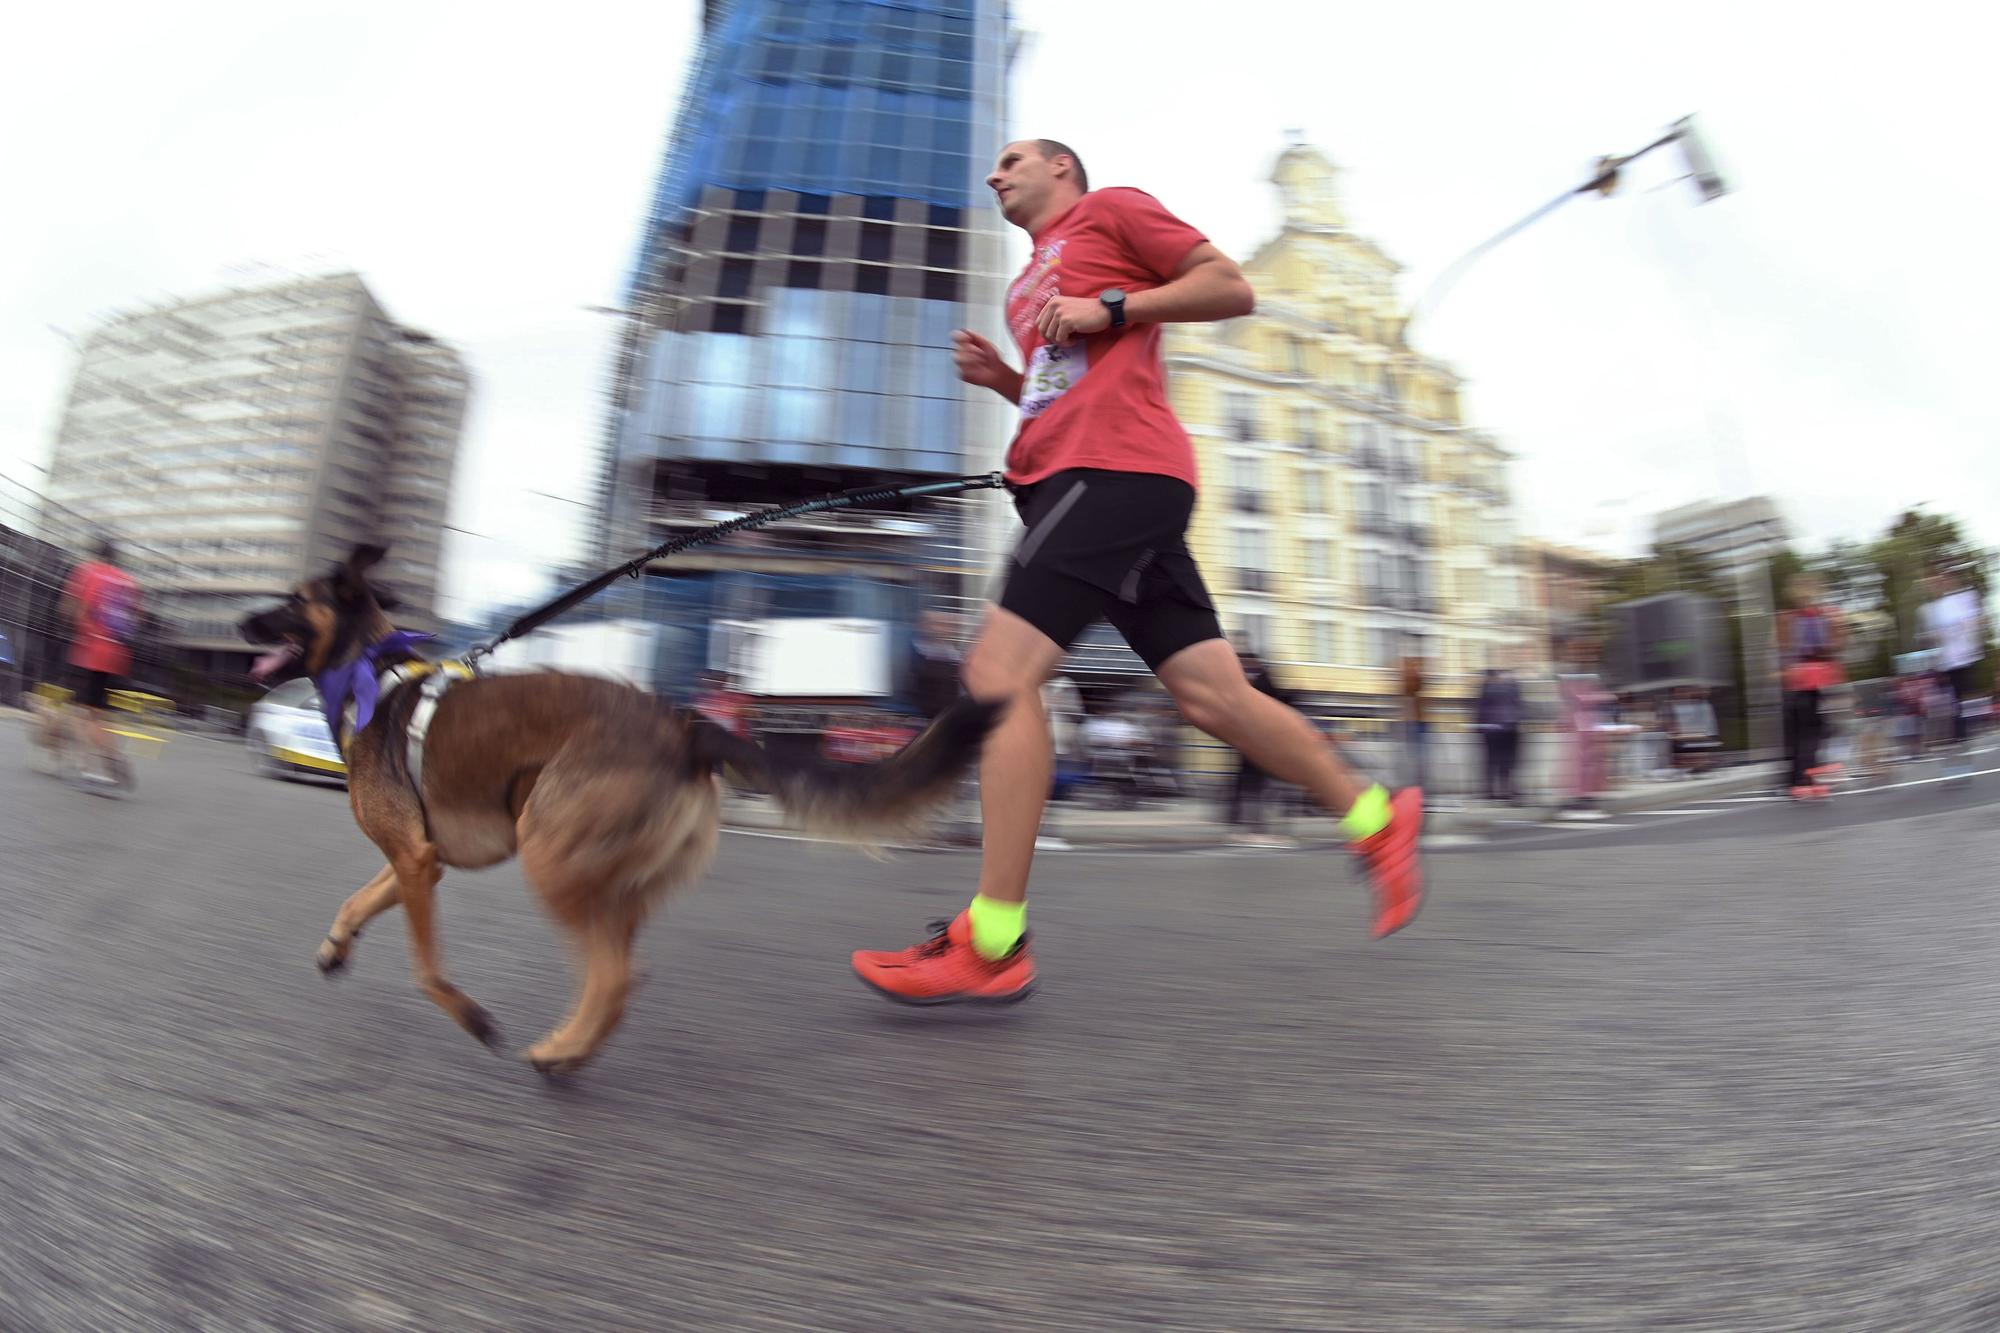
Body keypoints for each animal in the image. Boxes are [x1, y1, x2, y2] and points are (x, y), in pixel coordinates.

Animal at [242, 544, 1000, 1072]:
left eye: (291, 599)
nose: (241, 619)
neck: (370, 672)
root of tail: (686, 727)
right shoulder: (416, 860)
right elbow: (358, 898)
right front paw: (336, 945)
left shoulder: (416, 861)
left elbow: (426, 969)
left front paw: (472, 1017)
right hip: (608, 880)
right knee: (618, 976)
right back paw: (573, 1047)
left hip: (551, 857)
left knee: (613, 974)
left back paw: (560, 1053)